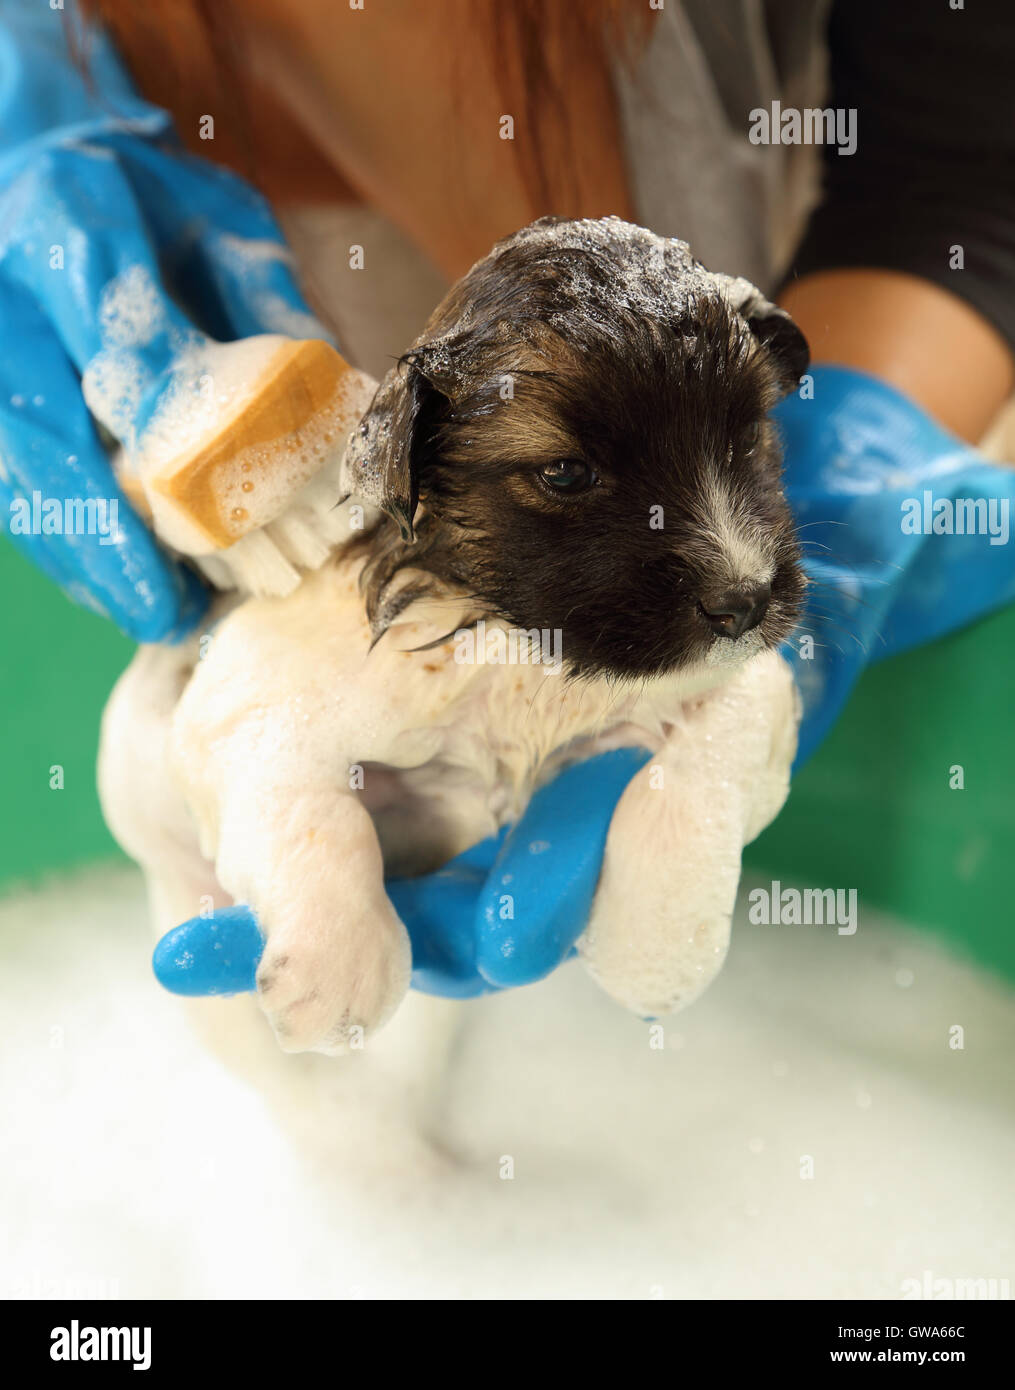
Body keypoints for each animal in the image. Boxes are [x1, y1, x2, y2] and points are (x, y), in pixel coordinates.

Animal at [94, 222, 806, 1056]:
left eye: (746, 438)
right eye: (566, 474)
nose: (743, 601)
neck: (517, 641)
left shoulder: (744, 679)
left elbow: (709, 757)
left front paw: (655, 945)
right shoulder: (253, 699)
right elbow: (320, 818)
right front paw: (337, 969)